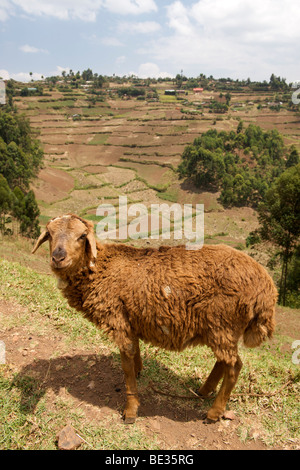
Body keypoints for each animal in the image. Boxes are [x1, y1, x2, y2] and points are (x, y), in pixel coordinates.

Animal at [32, 215, 276, 424]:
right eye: (49, 234)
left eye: (82, 236)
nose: (58, 258)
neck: (99, 270)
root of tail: (267, 289)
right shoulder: (130, 318)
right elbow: (135, 352)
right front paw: (140, 371)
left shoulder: (117, 320)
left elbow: (126, 365)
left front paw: (130, 410)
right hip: (221, 330)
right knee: (223, 361)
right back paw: (204, 391)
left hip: (223, 323)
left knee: (234, 366)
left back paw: (213, 413)